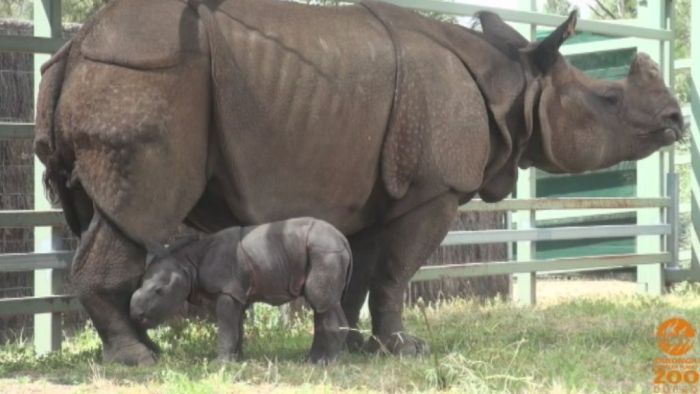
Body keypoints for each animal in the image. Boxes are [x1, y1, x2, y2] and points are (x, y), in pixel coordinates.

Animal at [129, 219, 352, 364]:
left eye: (158, 291)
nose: (135, 314)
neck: (187, 263)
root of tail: (343, 240)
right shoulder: (237, 292)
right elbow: (236, 327)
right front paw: (236, 360)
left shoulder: (227, 290)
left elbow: (227, 327)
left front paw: (220, 364)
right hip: (324, 250)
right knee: (325, 304)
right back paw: (313, 360)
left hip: (325, 251)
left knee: (321, 301)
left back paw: (322, 364)